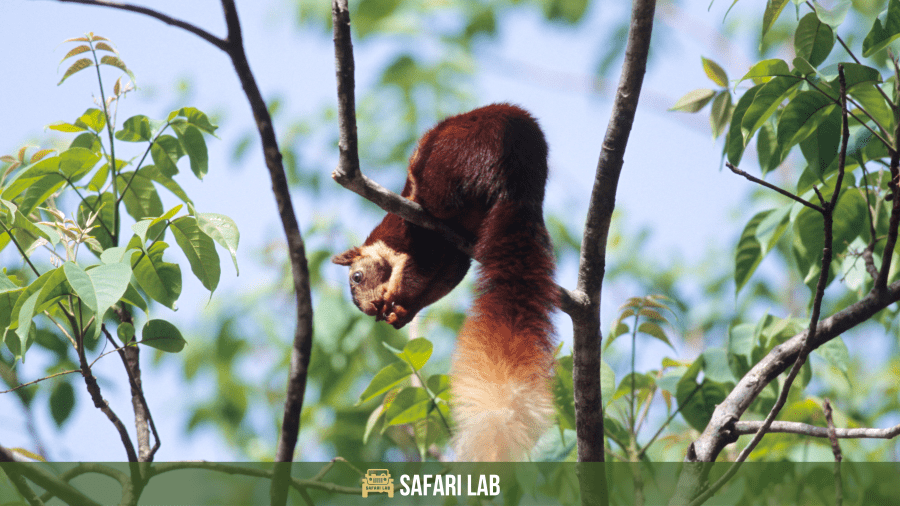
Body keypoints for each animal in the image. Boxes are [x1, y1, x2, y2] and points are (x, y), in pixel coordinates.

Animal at [333, 103, 557, 461]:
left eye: (357, 277)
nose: (370, 309)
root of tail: (516, 185)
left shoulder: (409, 235)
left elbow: (416, 266)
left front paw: (395, 294)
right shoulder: (452, 256)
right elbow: (440, 279)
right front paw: (403, 313)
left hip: (447, 167)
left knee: (435, 202)